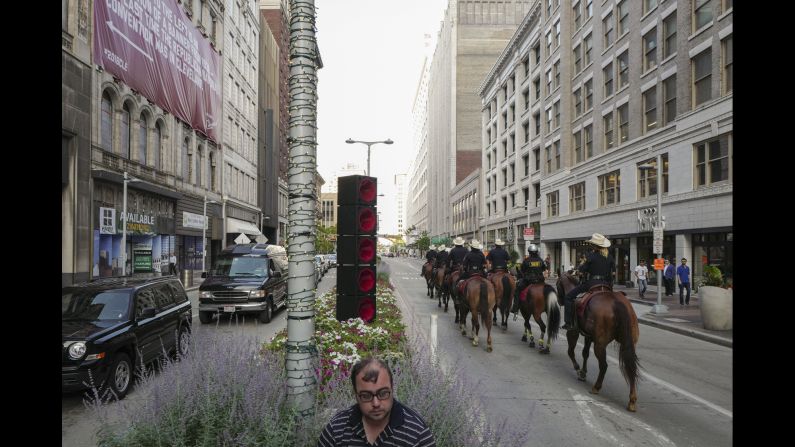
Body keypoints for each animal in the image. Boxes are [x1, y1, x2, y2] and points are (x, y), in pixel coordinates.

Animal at [556, 272, 644, 412]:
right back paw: (632, 400)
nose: (560, 300)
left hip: (600, 345)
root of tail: (616, 302)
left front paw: (578, 369)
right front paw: (583, 372)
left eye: (557, 284)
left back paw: (596, 387)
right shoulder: (589, 336)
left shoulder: (573, 331)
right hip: (629, 343)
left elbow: (571, 351)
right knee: (631, 367)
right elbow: (585, 353)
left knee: (604, 366)